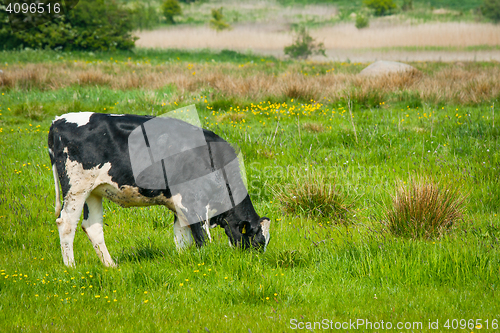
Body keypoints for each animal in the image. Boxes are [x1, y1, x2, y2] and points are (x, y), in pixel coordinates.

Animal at [48, 112, 272, 268]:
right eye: (257, 242)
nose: (256, 263)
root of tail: (58, 121)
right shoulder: (192, 202)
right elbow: (202, 239)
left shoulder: (179, 205)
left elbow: (181, 237)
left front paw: (184, 261)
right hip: (76, 187)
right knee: (66, 223)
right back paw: (71, 266)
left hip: (93, 191)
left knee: (93, 226)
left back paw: (110, 265)